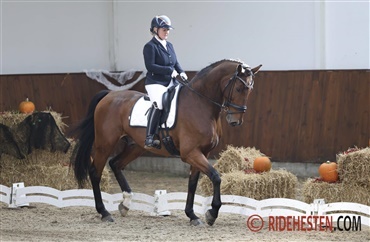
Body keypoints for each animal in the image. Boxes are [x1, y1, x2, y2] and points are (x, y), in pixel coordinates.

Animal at [71, 59, 262, 226]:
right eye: (239, 88)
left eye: (250, 90)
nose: (235, 121)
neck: (201, 104)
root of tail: (109, 95)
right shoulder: (190, 153)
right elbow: (215, 177)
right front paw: (212, 214)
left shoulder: (202, 153)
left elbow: (193, 183)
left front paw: (192, 215)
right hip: (105, 144)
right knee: (95, 172)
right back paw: (104, 212)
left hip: (136, 146)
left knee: (115, 164)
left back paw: (126, 204)